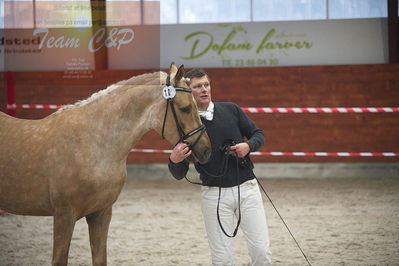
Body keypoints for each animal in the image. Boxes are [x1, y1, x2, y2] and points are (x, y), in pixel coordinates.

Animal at [0, 63, 212, 264]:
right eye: (185, 108)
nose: (206, 150)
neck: (92, 141)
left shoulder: (101, 213)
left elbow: (100, 258)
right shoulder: (63, 215)